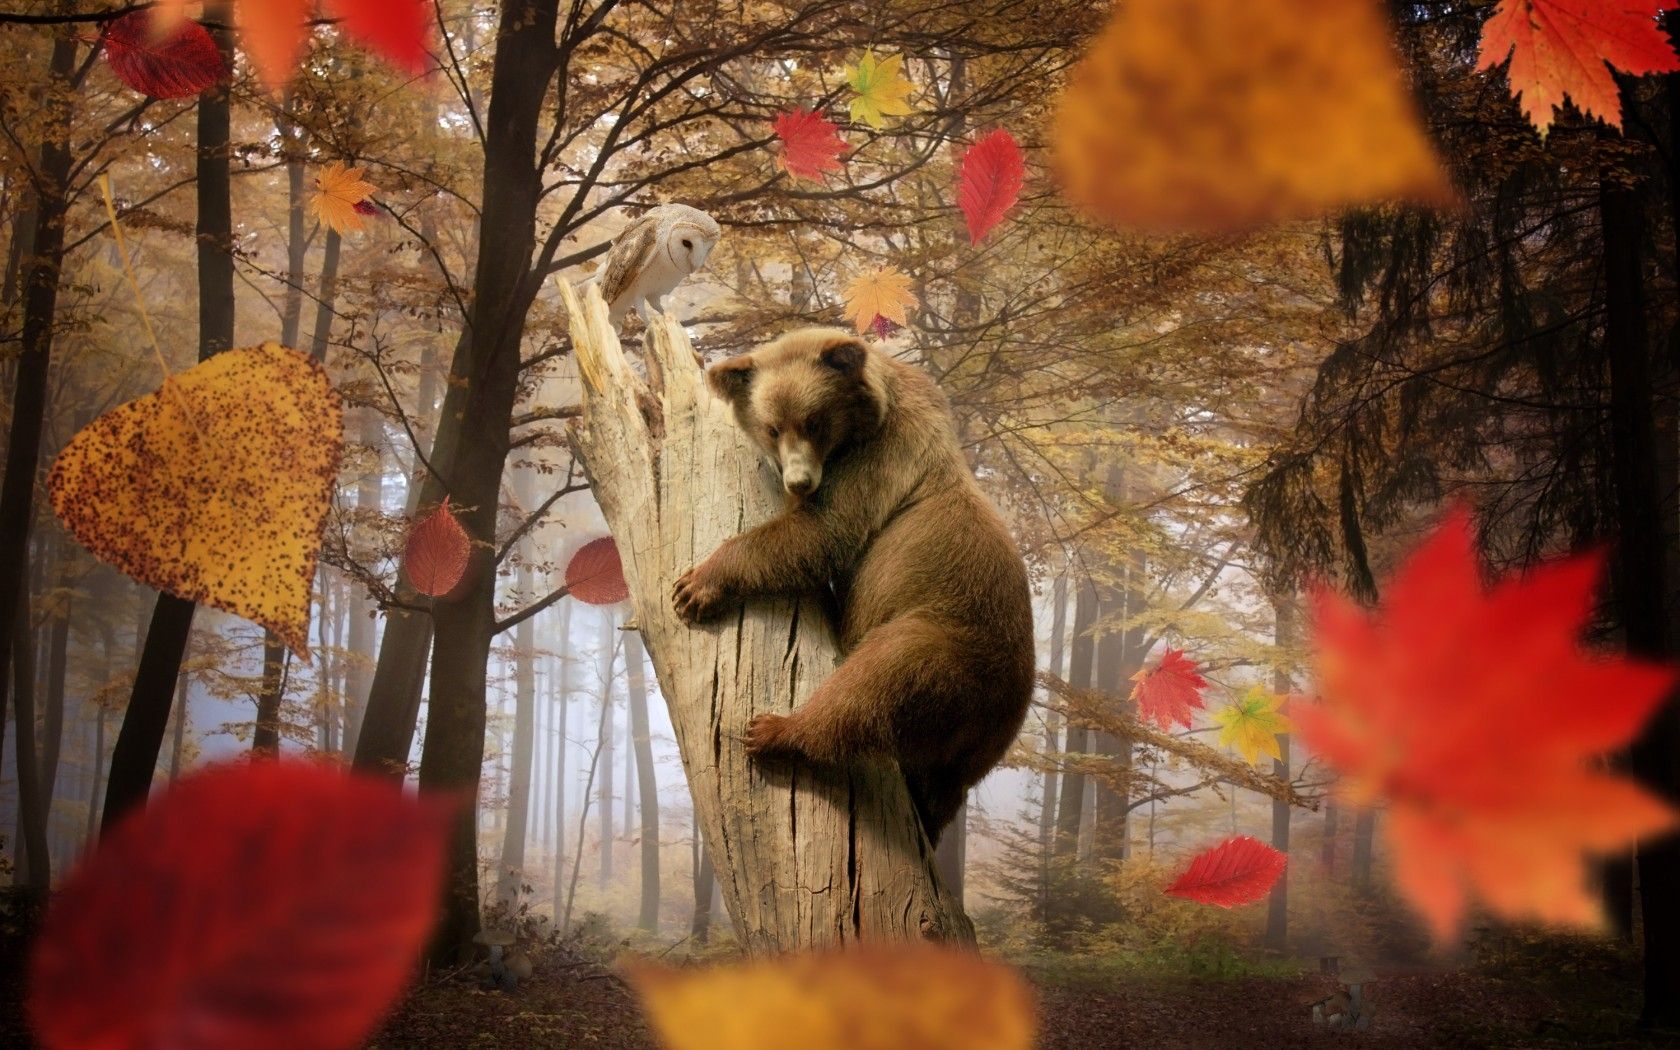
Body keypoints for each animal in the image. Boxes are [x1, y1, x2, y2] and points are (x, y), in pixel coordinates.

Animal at [670, 326, 1035, 844]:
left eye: (814, 422)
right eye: (772, 427)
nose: (799, 481)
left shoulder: (876, 463)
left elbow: (817, 534)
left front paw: (695, 585)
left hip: (947, 645)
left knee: (875, 684)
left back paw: (774, 730)